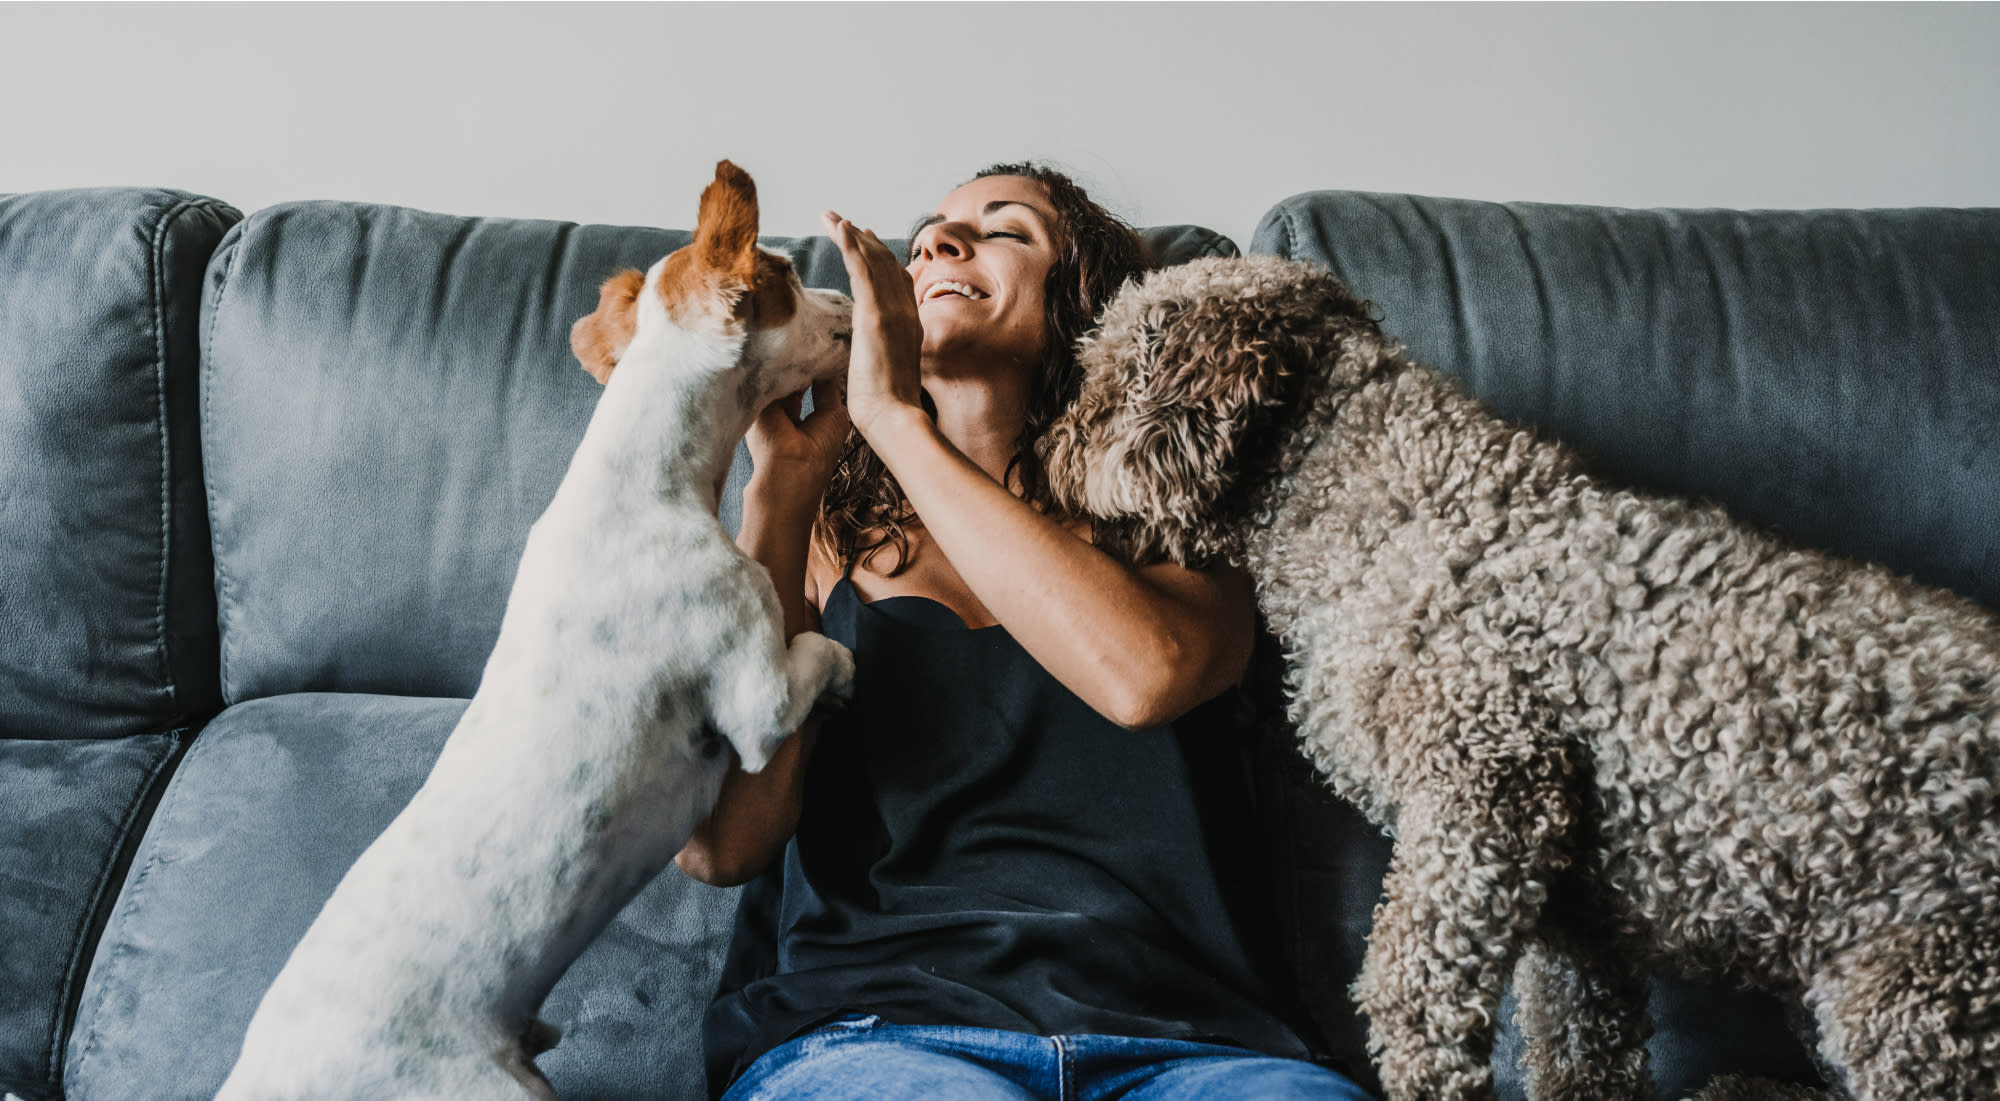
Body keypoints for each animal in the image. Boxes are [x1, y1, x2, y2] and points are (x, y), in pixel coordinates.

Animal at [221, 164, 860, 1101]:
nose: (851, 301)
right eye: (782, 273)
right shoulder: (757, 699)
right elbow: (813, 655)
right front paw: (846, 663)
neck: (642, 481)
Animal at [1040, 254, 2000, 1096]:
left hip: (1915, 1003)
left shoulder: (1485, 789)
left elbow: (1412, 997)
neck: (1389, 511)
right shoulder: (1578, 913)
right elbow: (1578, 1046)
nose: (1044, 448)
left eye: (1101, 376)